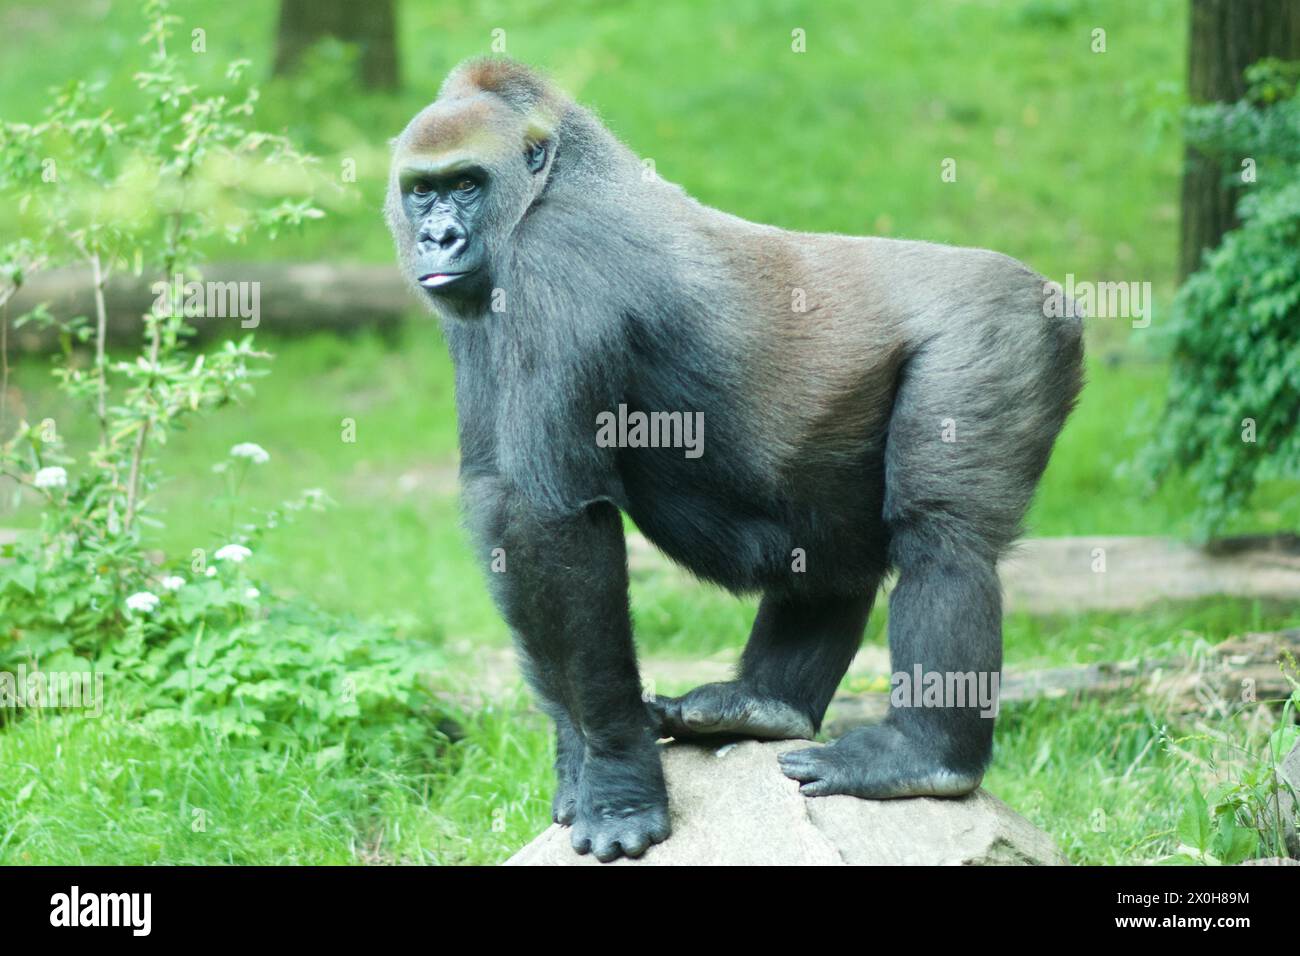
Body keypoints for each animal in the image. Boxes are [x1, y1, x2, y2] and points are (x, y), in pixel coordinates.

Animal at [386, 58, 1084, 863]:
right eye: (422, 189)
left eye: (467, 182)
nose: (437, 237)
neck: (554, 177)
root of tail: (1052, 294)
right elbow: (502, 513)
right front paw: (575, 757)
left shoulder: (553, 260)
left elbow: (545, 516)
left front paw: (618, 776)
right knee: (834, 549)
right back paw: (766, 708)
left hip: (1003, 331)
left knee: (945, 542)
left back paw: (927, 758)